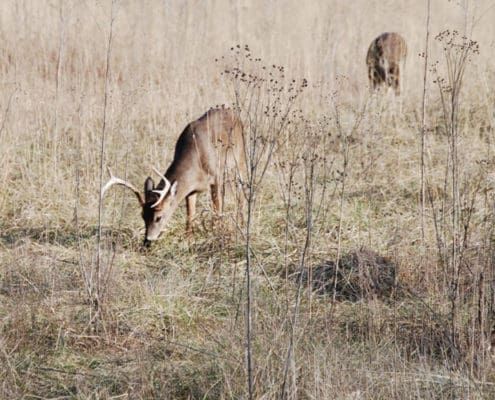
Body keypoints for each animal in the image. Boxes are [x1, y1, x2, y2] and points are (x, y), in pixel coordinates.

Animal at [101, 106, 246, 247]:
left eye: (158, 217)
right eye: (142, 215)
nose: (147, 241)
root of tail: (231, 111)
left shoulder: (216, 178)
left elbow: (217, 210)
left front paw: (219, 235)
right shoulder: (191, 189)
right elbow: (190, 215)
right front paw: (188, 241)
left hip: (240, 159)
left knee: (241, 194)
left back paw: (243, 223)